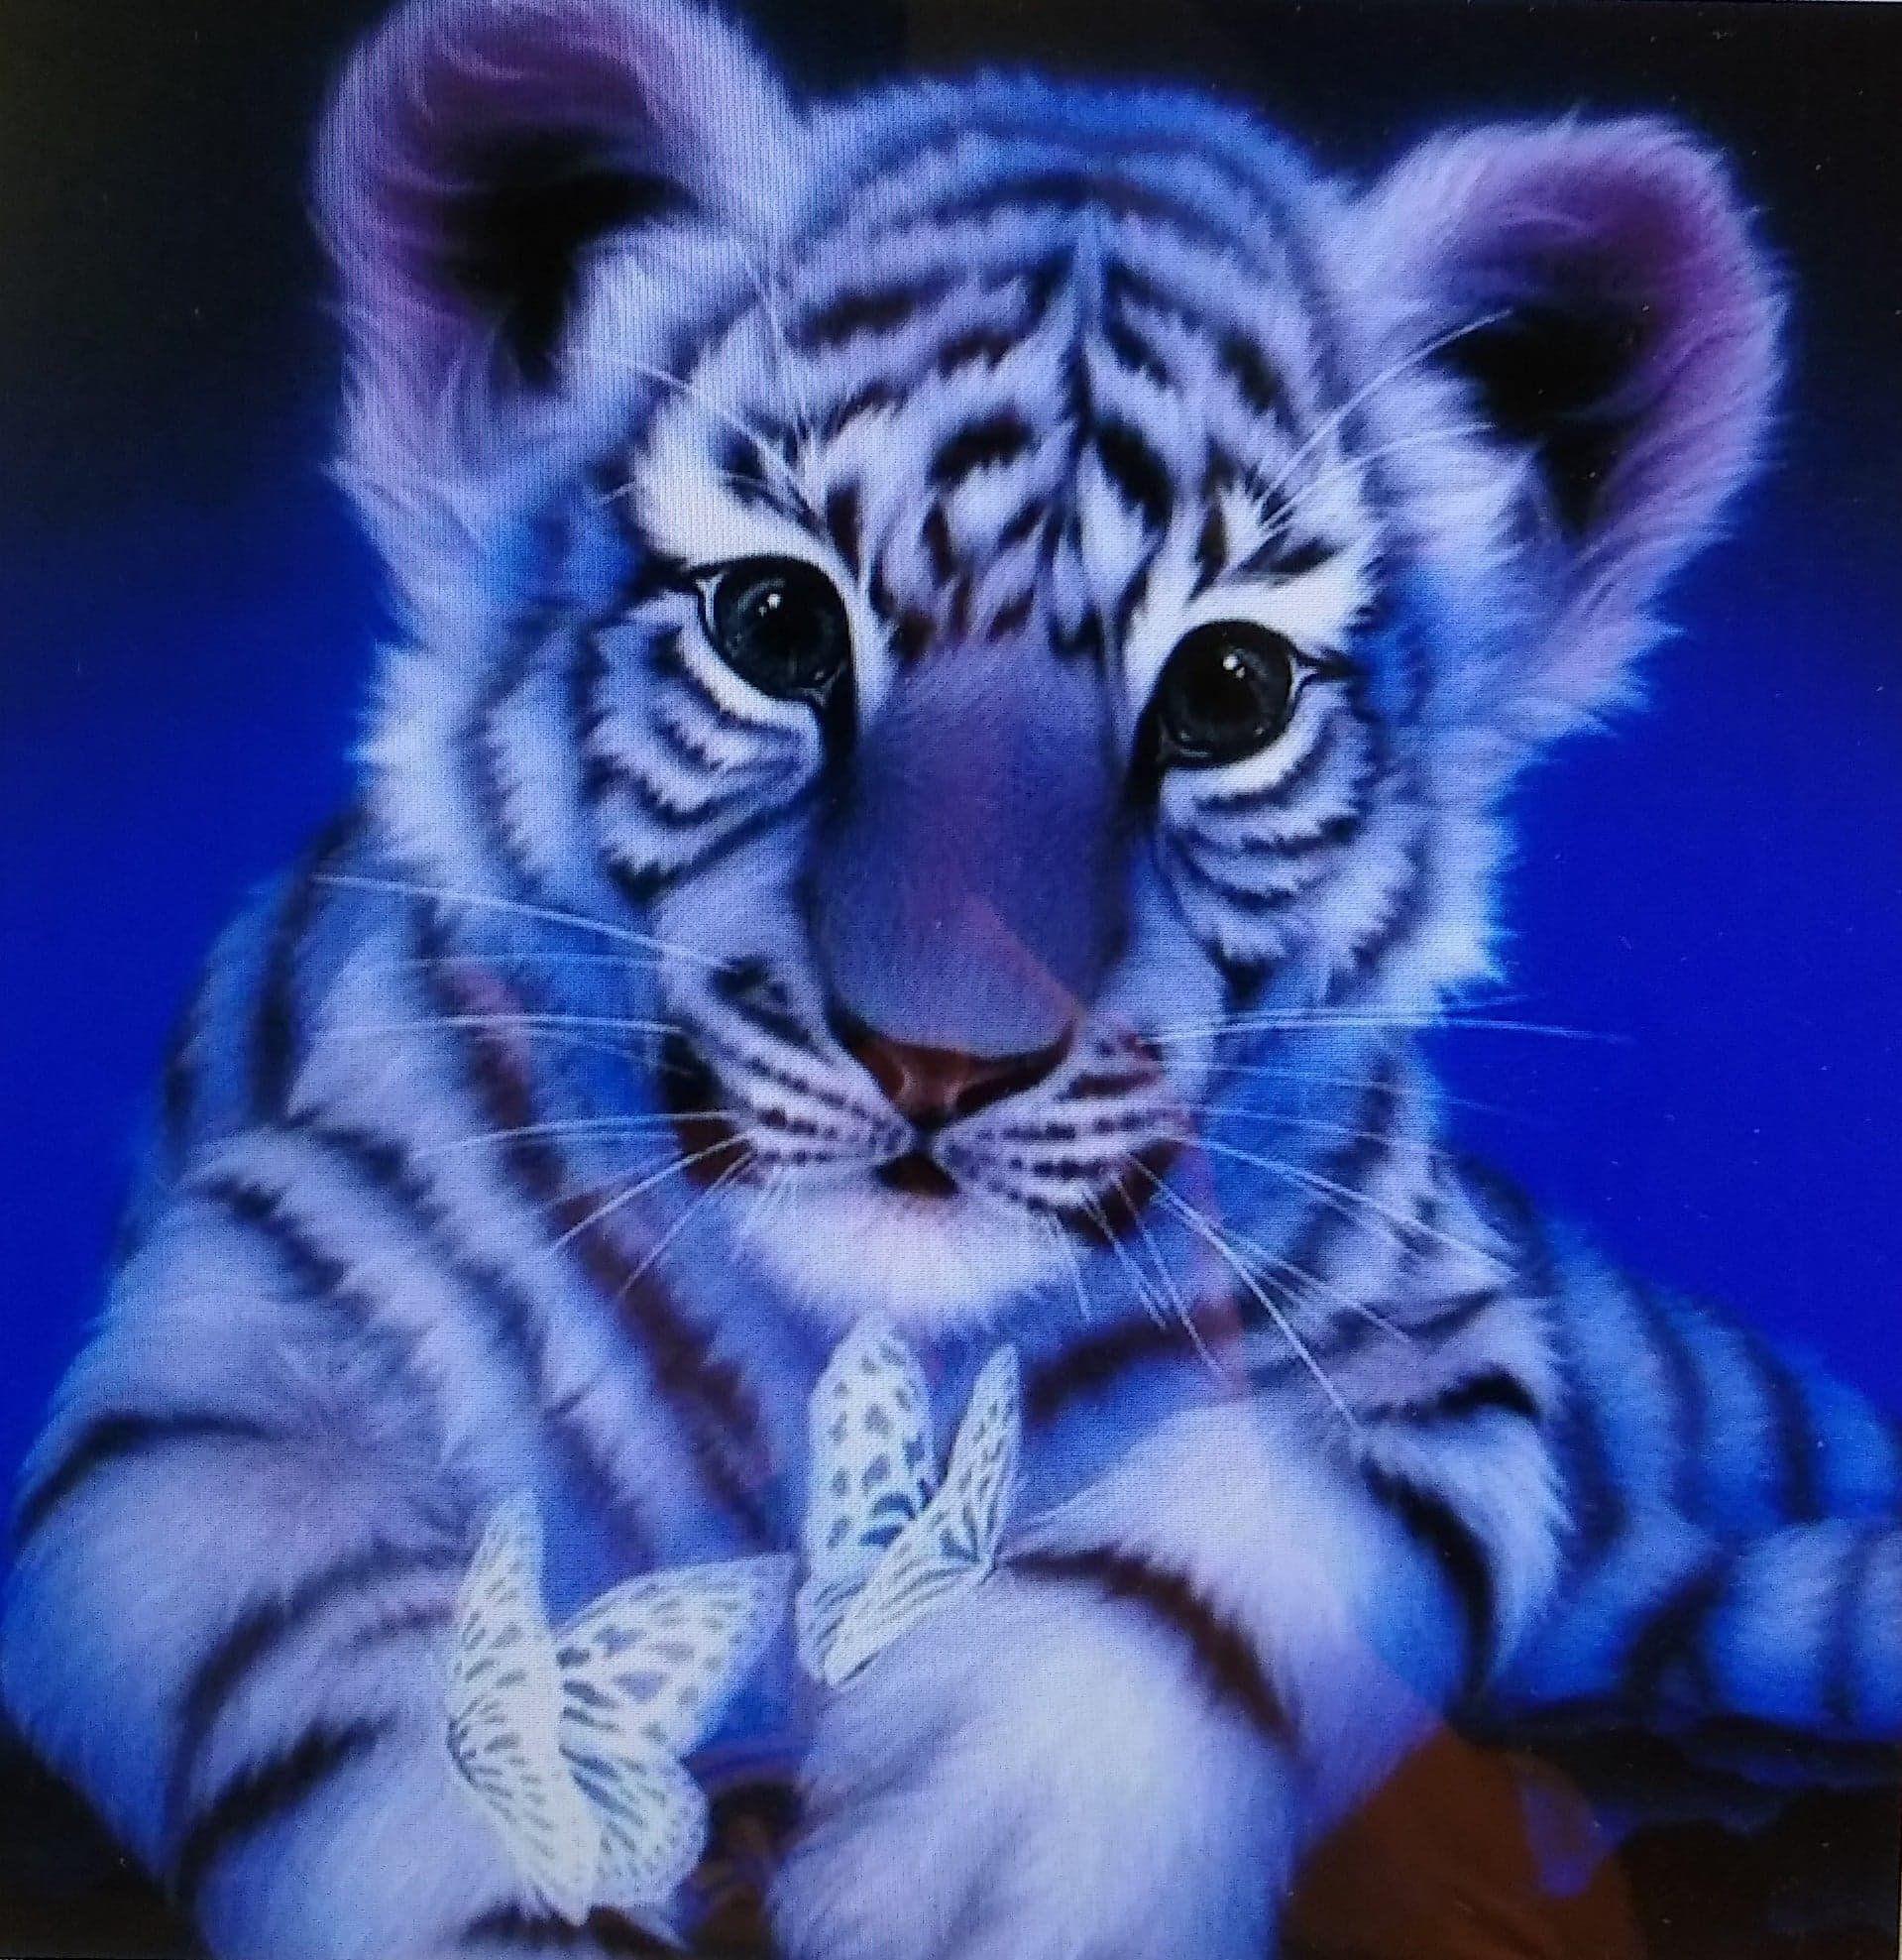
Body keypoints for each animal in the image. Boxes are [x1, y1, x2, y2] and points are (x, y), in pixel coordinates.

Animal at [5, 0, 1898, 1954]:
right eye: (773, 625)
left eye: (1226, 689)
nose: (937, 1064)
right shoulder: (236, 1350)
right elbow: (357, 1683)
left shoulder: (1436, 1347)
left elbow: (1213, 1577)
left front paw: (978, 1867)